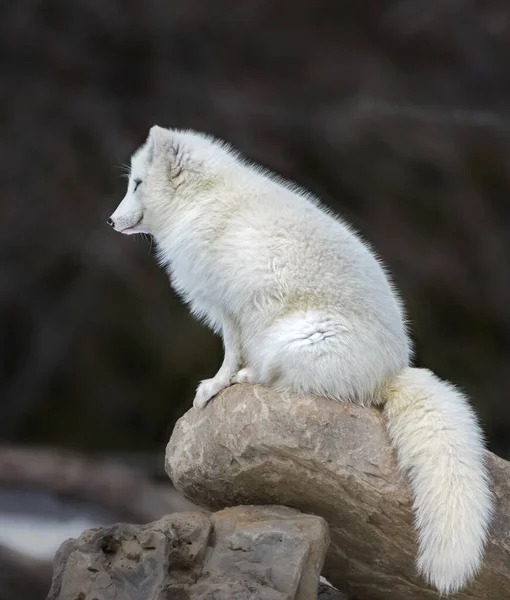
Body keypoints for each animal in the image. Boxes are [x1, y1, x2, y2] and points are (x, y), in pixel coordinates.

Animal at [108, 124, 494, 592]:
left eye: (137, 183)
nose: (110, 220)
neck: (203, 202)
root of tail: (393, 372)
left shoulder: (236, 309)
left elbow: (230, 356)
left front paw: (214, 387)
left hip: (294, 337)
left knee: (281, 379)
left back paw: (250, 378)